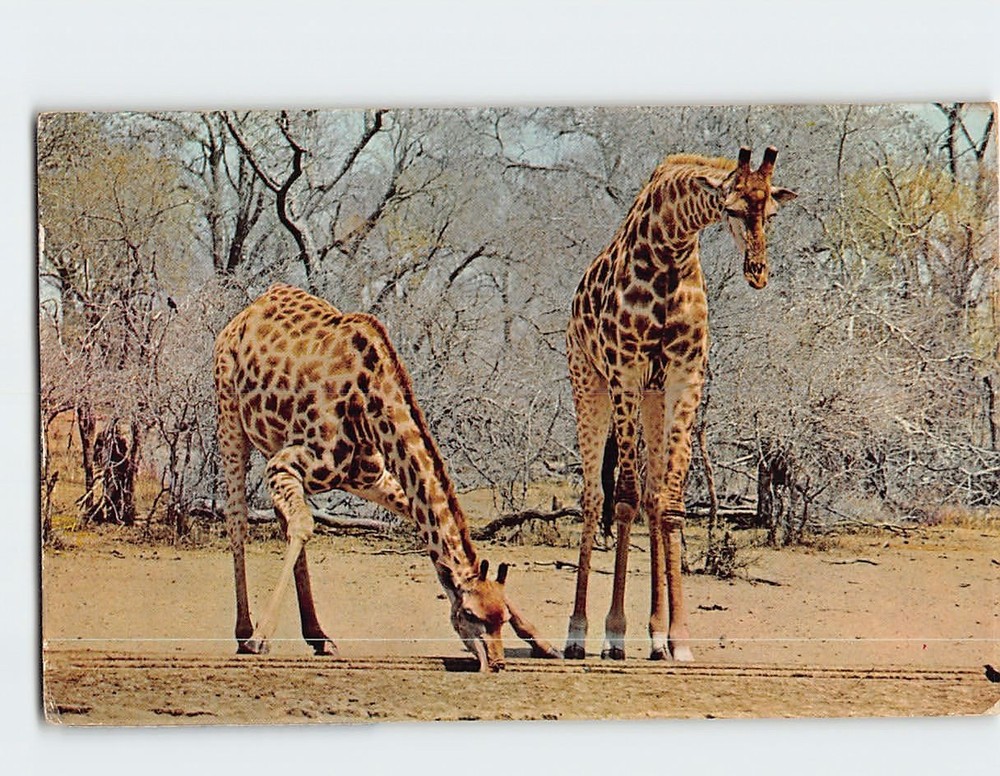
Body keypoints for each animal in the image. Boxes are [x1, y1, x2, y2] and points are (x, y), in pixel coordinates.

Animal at [214, 283, 559, 672]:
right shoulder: (285, 464)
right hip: (229, 414)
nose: (496, 663)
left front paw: (545, 643)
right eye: (470, 614)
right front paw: (261, 636)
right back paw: (245, 631)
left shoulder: (369, 477)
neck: (369, 402)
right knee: (238, 519)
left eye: (501, 616)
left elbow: (419, 517)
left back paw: (319, 636)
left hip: (273, 439)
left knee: (281, 518)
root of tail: (251, 309)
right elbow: (303, 525)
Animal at [563, 146, 796, 661]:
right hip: (588, 382)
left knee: (650, 497)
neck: (670, 246)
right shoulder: (626, 370)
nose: (758, 273)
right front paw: (615, 633)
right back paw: (578, 633)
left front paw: (676, 636)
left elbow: (667, 503)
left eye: (771, 213)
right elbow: (625, 497)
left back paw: (653, 634)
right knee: (593, 497)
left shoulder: (684, 376)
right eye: (732, 210)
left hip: (652, 398)